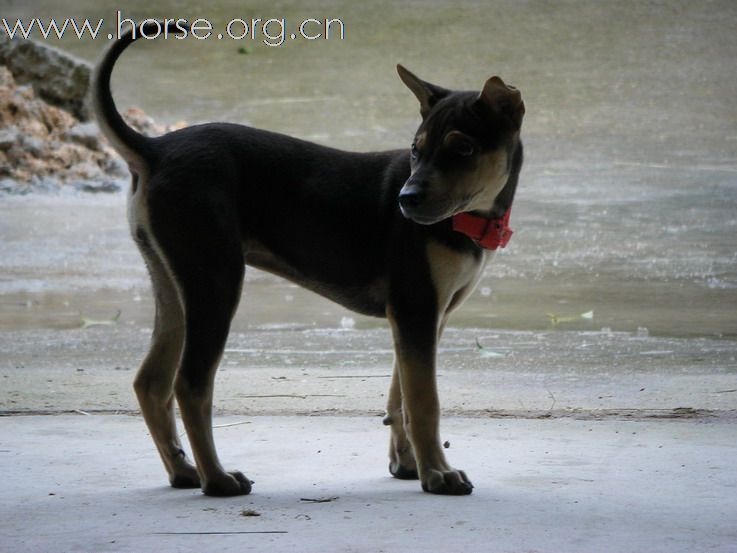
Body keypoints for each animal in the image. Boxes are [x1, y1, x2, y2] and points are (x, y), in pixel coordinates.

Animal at [92, 20, 524, 496]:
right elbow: (425, 401)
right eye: (416, 149)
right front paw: (439, 474)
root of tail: (155, 149)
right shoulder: (416, 309)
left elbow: (401, 397)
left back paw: (184, 471)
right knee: (191, 383)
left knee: (151, 382)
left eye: (462, 150)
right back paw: (218, 479)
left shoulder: (425, 317)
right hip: (215, 280)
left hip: (173, 282)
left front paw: (408, 464)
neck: (467, 221)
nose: (405, 200)